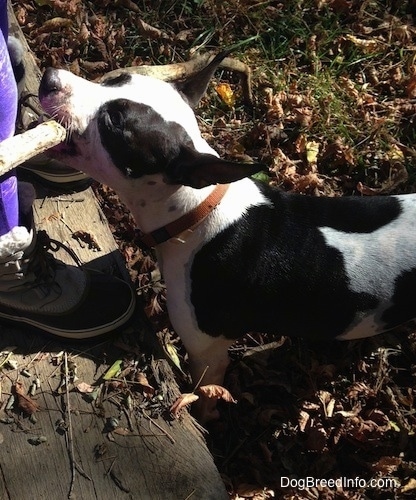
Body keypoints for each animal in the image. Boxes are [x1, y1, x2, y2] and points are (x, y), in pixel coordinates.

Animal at [39, 54, 416, 420]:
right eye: (118, 79)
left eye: (115, 121)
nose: (50, 78)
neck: (198, 209)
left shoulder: (208, 354)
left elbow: (204, 394)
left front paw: (204, 419)